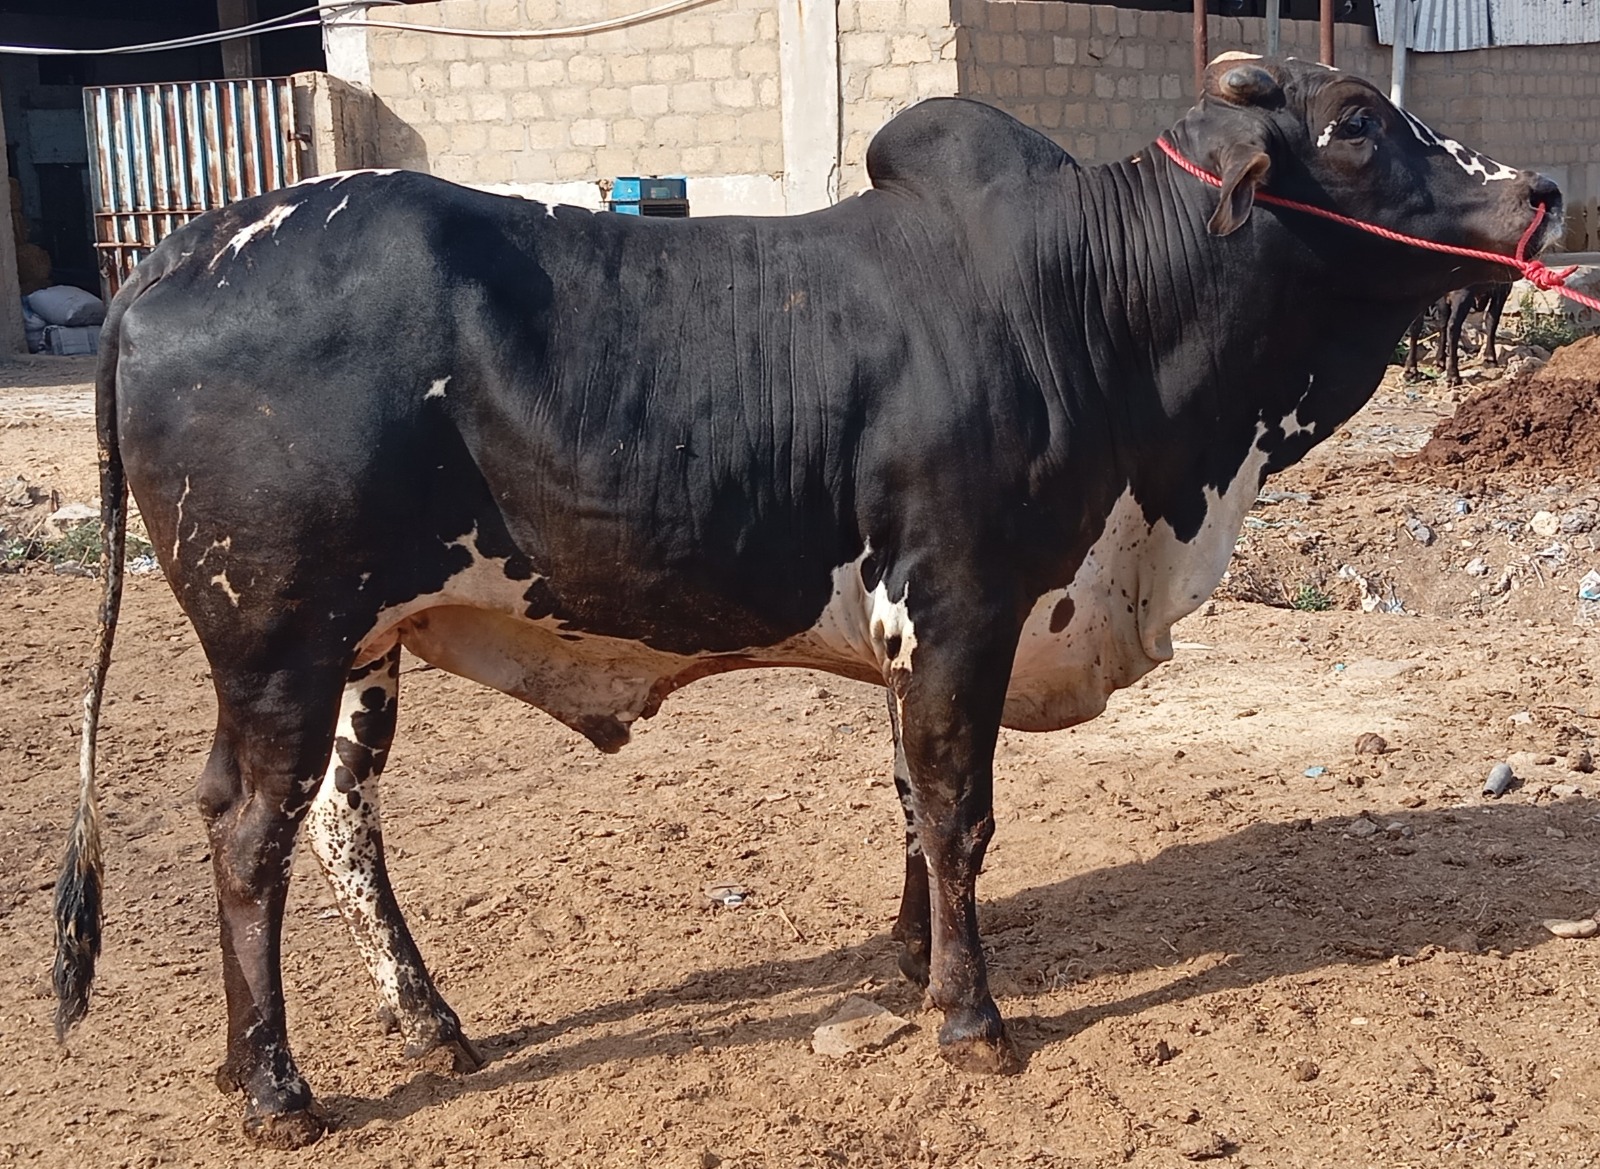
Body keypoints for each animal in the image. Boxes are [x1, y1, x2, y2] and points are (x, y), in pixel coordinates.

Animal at [53, 55, 1560, 1146]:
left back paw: (422, 1021)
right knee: (247, 832)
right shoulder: (960, 603)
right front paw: (969, 1013)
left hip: (363, 646)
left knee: (337, 823)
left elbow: (910, 800)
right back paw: (274, 1086)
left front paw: (907, 960)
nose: (1543, 189)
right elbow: (957, 809)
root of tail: (170, 261)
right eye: (1358, 123)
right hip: (279, 642)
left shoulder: (924, 632)